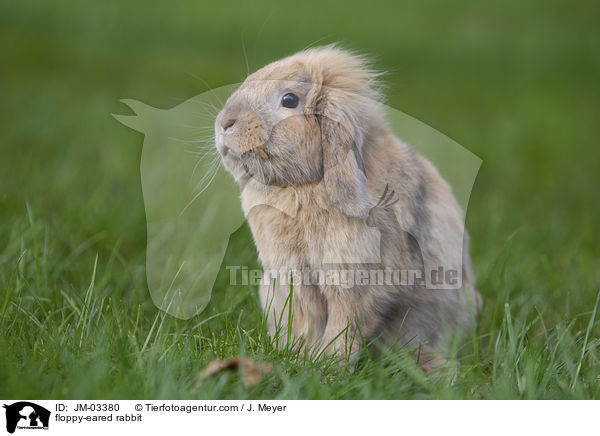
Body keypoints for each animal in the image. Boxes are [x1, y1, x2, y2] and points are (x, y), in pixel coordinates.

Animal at [213, 45, 480, 364]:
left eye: (289, 100)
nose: (224, 123)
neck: (302, 186)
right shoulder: (293, 279)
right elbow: (306, 320)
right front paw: (296, 357)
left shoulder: (354, 279)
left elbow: (344, 324)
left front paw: (326, 364)